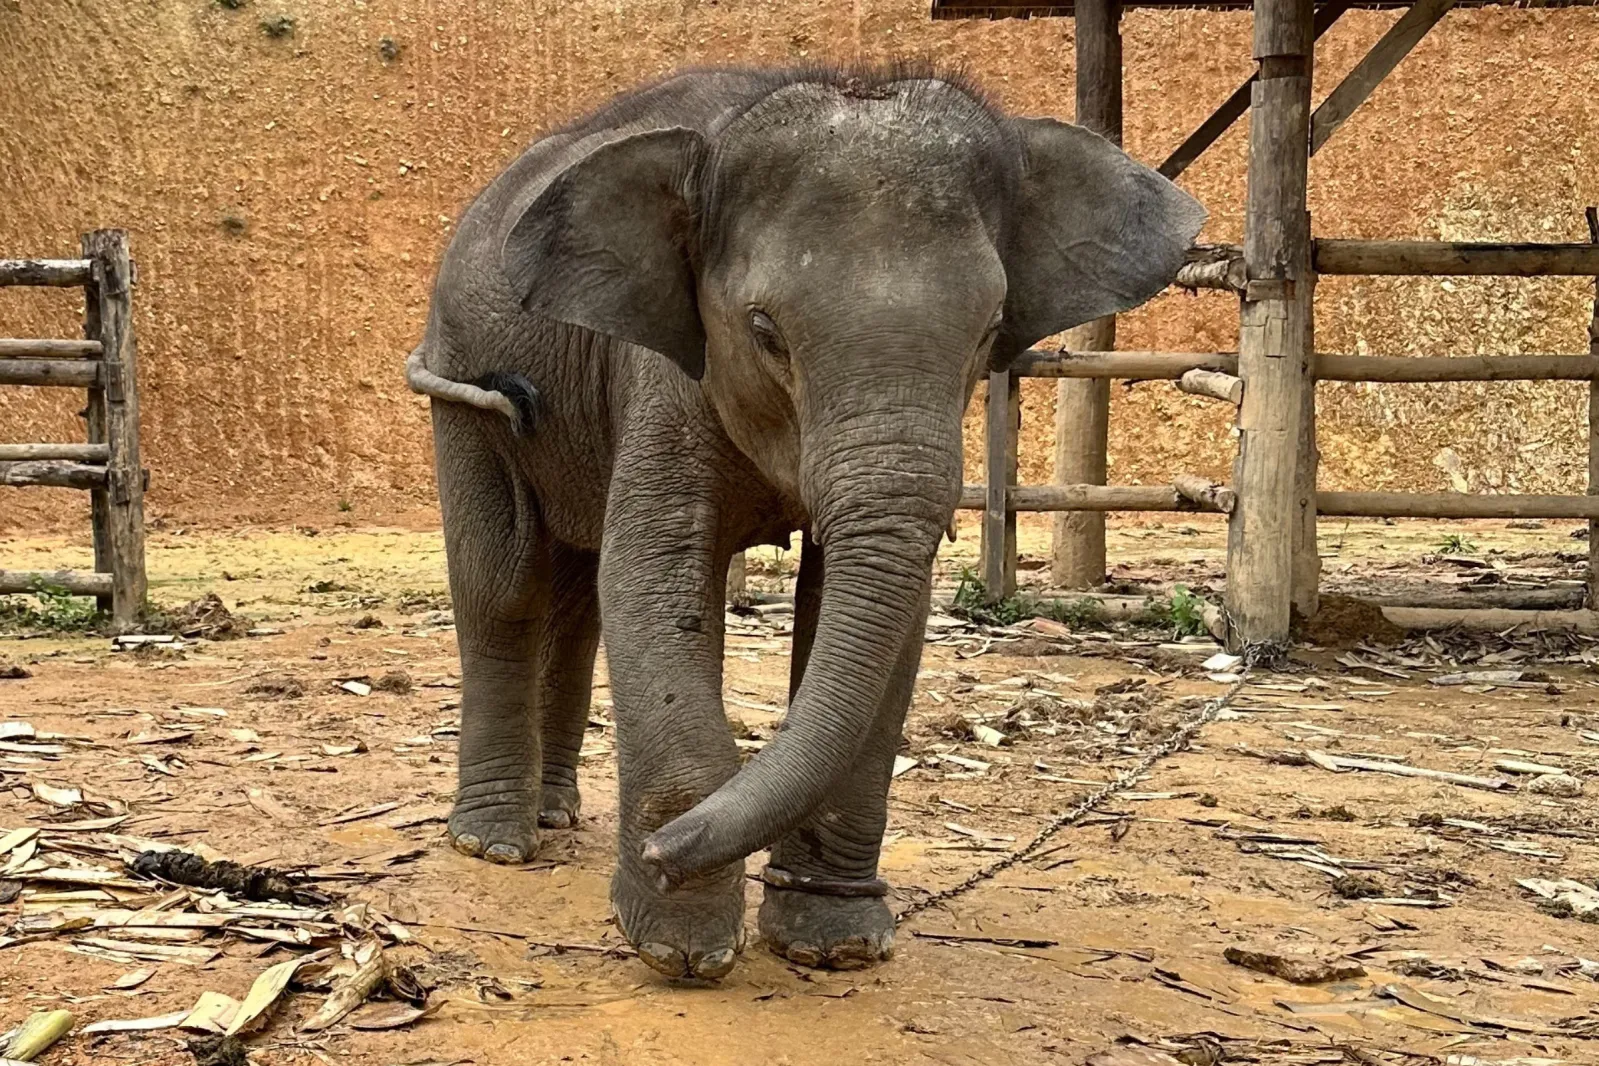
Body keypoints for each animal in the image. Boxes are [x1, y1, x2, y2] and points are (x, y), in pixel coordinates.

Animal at [405, 62, 1204, 981]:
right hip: (465, 381)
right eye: (763, 331)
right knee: (506, 585)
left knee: (574, 601)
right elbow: (651, 575)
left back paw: (555, 816)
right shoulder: (660, 379)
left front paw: (834, 944)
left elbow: (868, 617)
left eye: (991, 331)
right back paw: (495, 844)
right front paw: (680, 949)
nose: (662, 855)